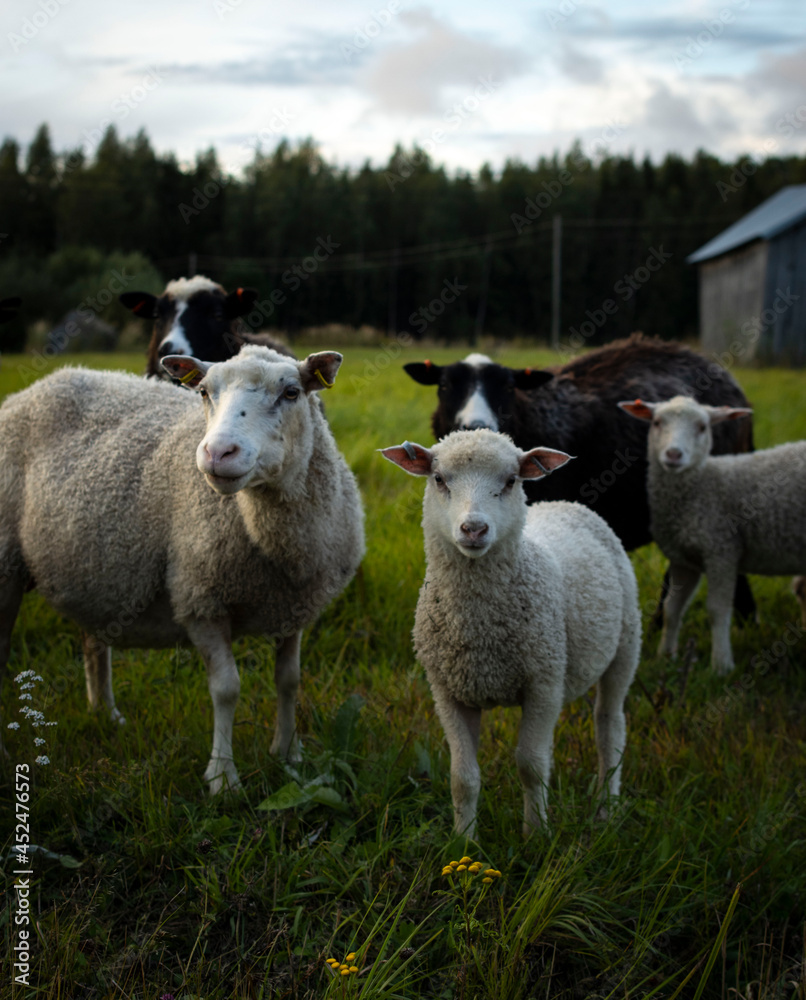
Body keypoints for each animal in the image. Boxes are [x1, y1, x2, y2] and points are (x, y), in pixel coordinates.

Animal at [0, 344, 366, 788]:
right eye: (205, 392)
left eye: (292, 392)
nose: (218, 453)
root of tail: (39, 386)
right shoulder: (199, 599)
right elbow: (226, 689)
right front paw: (222, 777)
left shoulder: (293, 606)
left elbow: (289, 681)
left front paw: (288, 754)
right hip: (5, 565)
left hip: (95, 571)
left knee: (93, 643)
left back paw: (105, 713)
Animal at [382, 428, 640, 836]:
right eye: (438, 479)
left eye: (510, 481)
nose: (474, 528)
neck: (480, 629)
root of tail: (567, 503)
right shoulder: (447, 690)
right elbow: (463, 776)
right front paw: (463, 840)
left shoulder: (543, 683)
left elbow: (531, 767)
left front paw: (536, 835)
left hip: (627, 642)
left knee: (610, 728)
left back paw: (606, 808)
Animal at [620, 394, 804, 676]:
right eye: (657, 422)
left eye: (702, 427)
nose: (674, 454)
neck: (702, 485)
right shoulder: (683, 559)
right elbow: (672, 608)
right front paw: (666, 657)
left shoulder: (721, 551)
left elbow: (717, 610)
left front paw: (721, 665)